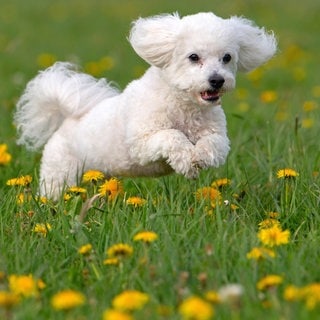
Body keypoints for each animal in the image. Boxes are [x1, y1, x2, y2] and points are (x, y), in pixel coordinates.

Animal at [14, 12, 276, 199]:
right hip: (59, 174)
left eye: (227, 58)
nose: (217, 80)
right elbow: (171, 136)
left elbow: (212, 143)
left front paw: (199, 157)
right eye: (193, 57)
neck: (184, 105)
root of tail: (67, 118)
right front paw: (186, 160)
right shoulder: (141, 142)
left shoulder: (217, 136)